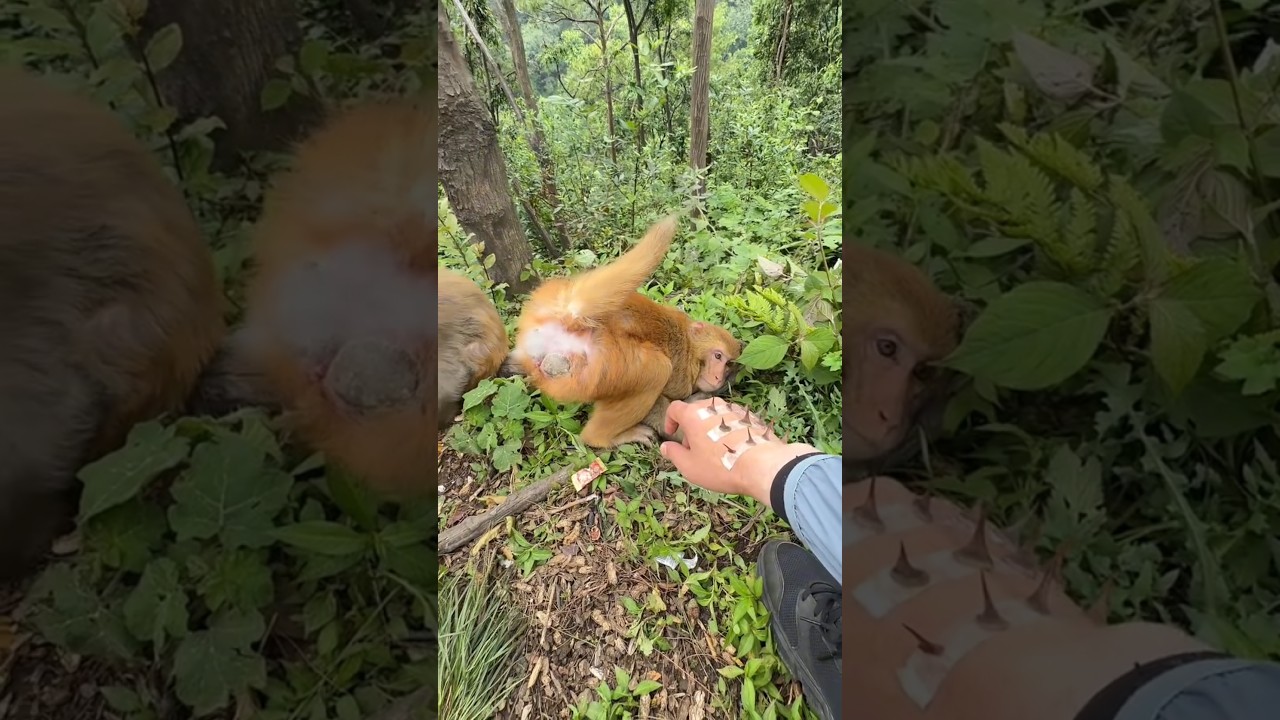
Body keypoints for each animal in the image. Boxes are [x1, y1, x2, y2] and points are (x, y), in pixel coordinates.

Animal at [507, 216, 743, 449]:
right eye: (718, 356)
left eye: (728, 362)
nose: (718, 376)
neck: (690, 346)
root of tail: (570, 317)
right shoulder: (683, 374)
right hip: (605, 365)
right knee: (656, 370)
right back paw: (600, 438)